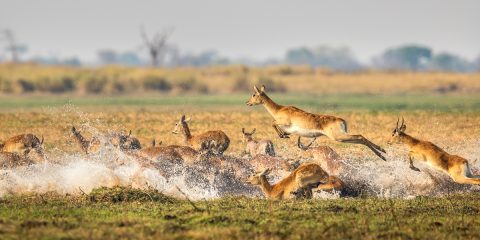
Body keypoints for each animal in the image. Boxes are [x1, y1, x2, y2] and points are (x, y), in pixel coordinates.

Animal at [248, 85, 386, 160]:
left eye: (254, 94)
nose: (247, 102)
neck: (279, 109)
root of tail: (341, 120)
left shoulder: (283, 122)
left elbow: (272, 123)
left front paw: (282, 135)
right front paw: (284, 135)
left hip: (338, 137)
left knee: (360, 136)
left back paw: (383, 154)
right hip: (342, 137)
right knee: (360, 139)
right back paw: (382, 154)